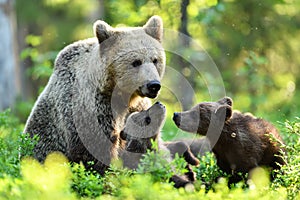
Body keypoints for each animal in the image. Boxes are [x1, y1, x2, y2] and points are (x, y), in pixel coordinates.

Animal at [22, 15, 166, 173]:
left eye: (155, 60)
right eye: (136, 62)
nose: (153, 85)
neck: (121, 95)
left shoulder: (138, 107)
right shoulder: (94, 109)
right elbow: (96, 151)